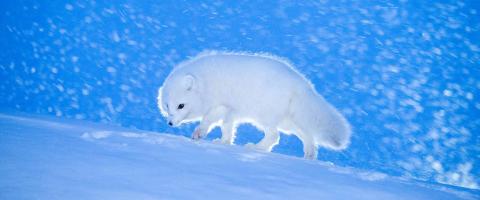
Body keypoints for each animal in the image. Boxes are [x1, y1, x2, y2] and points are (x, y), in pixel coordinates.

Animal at [159, 51, 350, 159]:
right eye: (167, 106)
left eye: (181, 106)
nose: (170, 123)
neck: (206, 84)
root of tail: (302, 84)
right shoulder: (230, 111)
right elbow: (227, 127)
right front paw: (224, 142)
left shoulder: (220, 105)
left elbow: (209, 121)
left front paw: (201, 134)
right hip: (289, 122)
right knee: (307, 135)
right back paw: (309, 155)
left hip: (265, 117)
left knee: (275, 136)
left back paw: (256, 148)